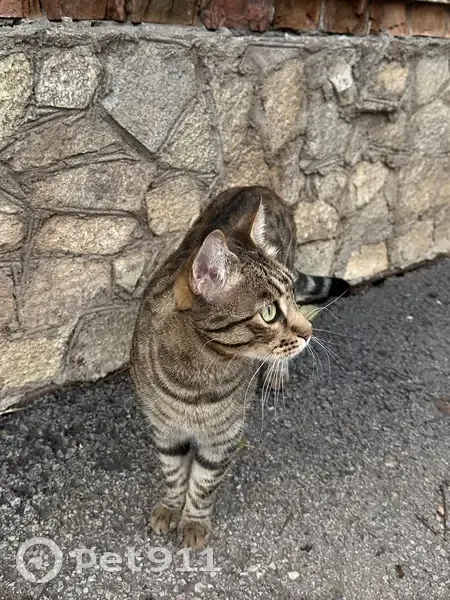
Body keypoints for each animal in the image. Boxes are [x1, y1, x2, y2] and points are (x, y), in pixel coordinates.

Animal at [130, 186, 348, 549]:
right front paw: (171, 508)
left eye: (291, 298)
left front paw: (194, 522)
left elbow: (203, 484)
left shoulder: (224, 436)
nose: (309, 332)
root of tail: (263, 188)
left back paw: (276, 373)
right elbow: (173, 472)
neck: (198, 375)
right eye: (269, 313)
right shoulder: (164, 428)